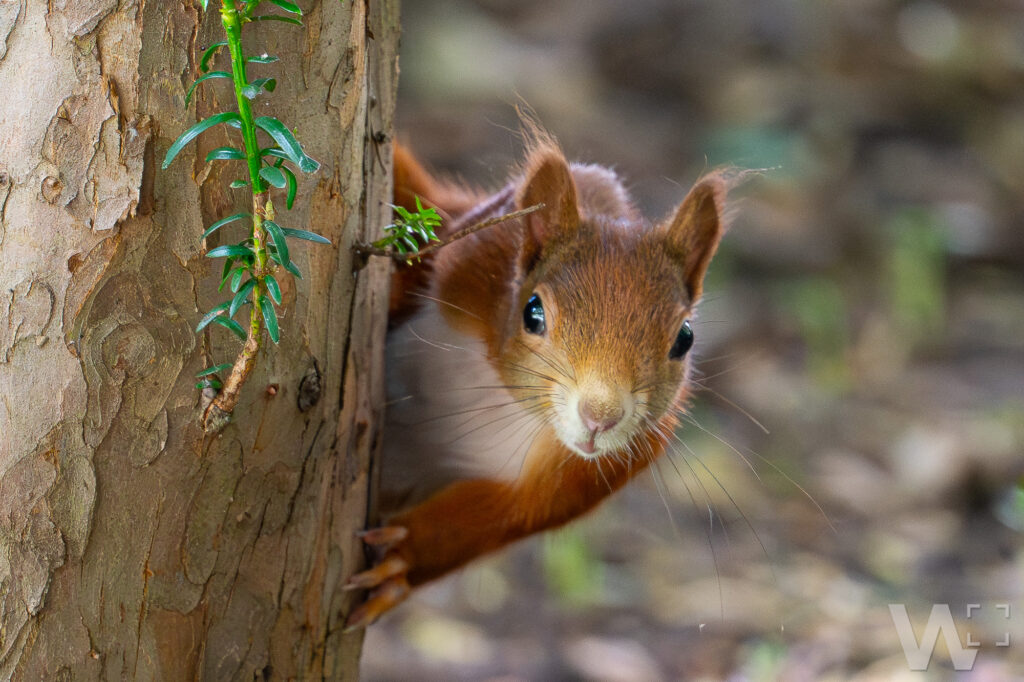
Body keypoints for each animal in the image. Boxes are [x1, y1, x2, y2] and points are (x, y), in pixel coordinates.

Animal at [345, 125, 729, 629]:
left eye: (684, 339)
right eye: (532, 312)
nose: (600, 416)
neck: (505, 403)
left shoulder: (592, 473)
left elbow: (488, 521)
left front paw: (401, 560)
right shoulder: (467, 258)